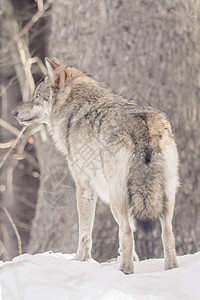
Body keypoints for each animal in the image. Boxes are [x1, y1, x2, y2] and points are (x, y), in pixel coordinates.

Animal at [12, 56, 179, 274]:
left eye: (37, 96)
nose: (14, 112)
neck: (74, 110)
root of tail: (144, 123)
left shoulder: (84, 188)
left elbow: (85, 233)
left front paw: (79, 260)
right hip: (165, 197)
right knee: (167, 233)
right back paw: (170, 269)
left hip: (117, 199)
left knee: (126, 231)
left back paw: (124, 271)